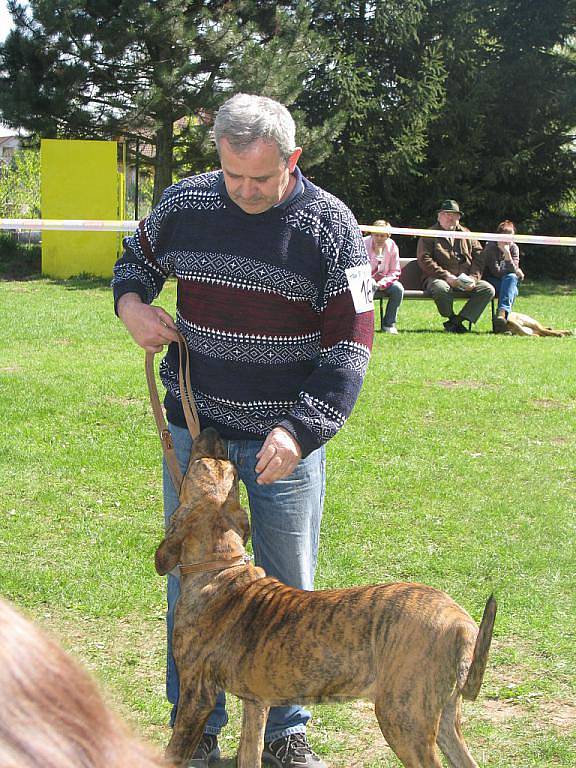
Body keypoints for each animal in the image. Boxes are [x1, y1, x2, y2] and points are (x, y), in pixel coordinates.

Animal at [156, 428, 496, 768]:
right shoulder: (256, 704)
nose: (212, 430)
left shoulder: (197, 694)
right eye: (233, 474)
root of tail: (458, 620)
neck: (221, 567)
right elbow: (249, 753)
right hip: (443, 717)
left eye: (201, 465)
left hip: (403, 718)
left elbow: (174, 751)